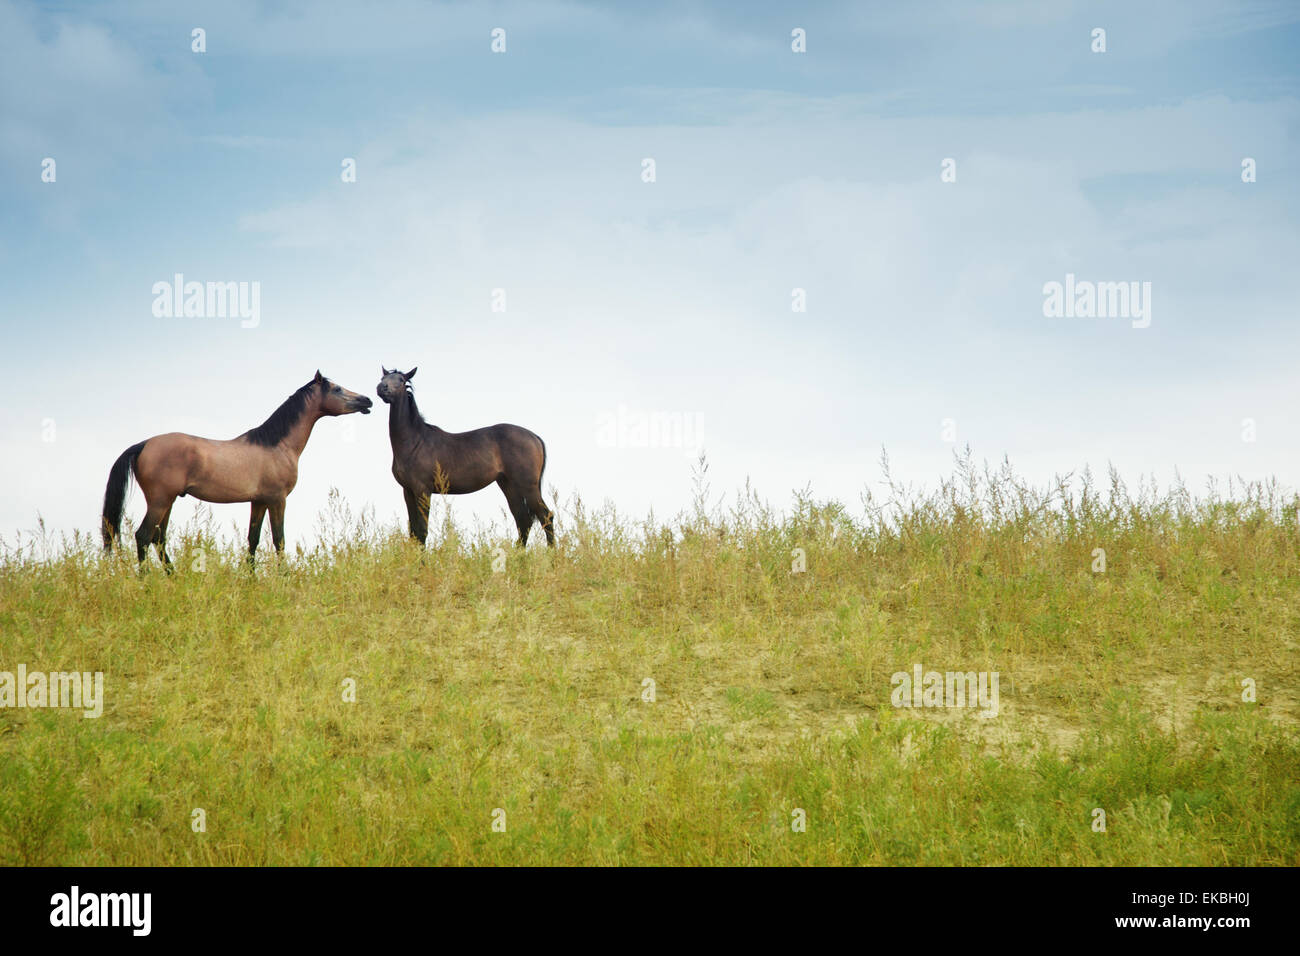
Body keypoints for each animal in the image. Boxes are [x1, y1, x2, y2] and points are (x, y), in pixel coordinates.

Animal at [102, 371, 371, 567]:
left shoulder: (259, 501)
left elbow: (253, 540)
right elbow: (279, 540)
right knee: (143, 537)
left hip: (167, 501)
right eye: (337, 389)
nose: (366, 400)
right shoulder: (277, 499)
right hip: (160, 500)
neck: (276, 444)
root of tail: (144, 444)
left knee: (159, 539)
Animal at [379, 366, 556, 546]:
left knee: (545, 516)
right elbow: (413, 531)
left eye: (401, 380)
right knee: (523, 520)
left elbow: (421, 530)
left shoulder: (422, 490)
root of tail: (534, 437)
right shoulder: (408, 491)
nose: (382, 388)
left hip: (528, 486)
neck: (415, 441)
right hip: (508, 485)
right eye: (382, 378)